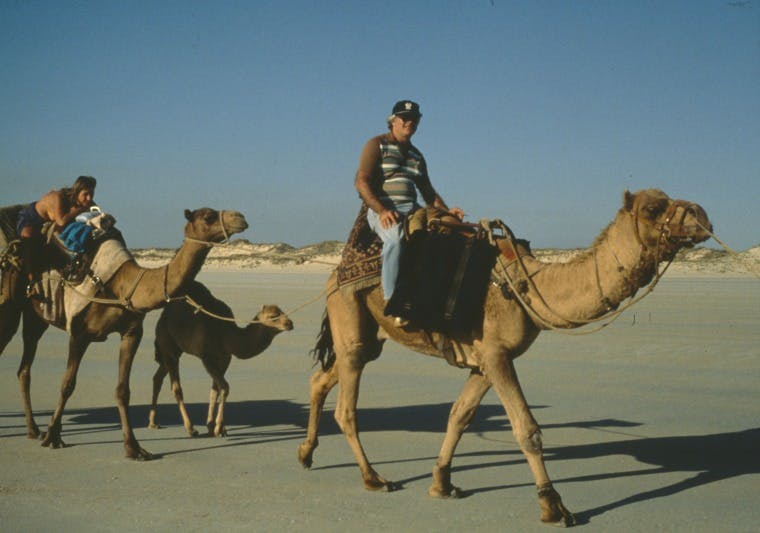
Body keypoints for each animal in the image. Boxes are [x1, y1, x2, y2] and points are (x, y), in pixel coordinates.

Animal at [0, 207, 246, 458]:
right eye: (208, 216)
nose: (240, 218)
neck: (123, 285)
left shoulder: (131, 333)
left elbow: (122, 390)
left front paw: (134, 448)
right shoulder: (79, 333)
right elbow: (67, 384)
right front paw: (53, 436)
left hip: (35, 317)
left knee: (24, 368)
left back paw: (33, 429)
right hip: (9, 308)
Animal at [148, 278, 294, 436]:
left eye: (283, 312)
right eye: (272, 317)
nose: (290, 323)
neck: (228, 335)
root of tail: (164, 314)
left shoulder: (225, 358)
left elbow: (215, 389)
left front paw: (212, 426)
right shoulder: (207, 357)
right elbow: (224, 387)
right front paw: (219, 428)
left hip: (174, 349)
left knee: (158, 377)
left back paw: (153, 423)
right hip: (168, 343)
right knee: (176, 387)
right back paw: (190, 428)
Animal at [296, 190, 712, 524]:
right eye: (654, 208)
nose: (703, 215)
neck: (527, 286)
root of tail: (335, 272)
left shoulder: (486, 359)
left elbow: (459, 417)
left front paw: (442, 483)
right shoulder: (498, 355)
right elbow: (527, 430)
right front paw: (553, 506)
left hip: (370, 337)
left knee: (322, 378)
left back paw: (306, 453)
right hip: (349, 314)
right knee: (346, 408)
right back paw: (373, 478)